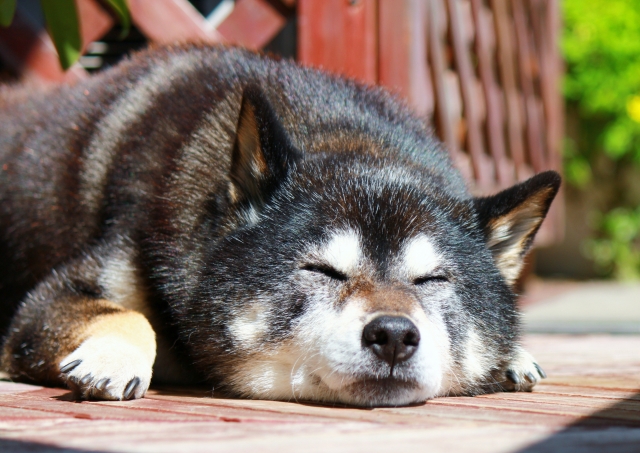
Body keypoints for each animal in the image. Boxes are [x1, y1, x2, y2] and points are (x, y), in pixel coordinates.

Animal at [0, 44, 560, 404]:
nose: (394, 334)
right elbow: (126, 313)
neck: (348, 135)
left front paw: (512, 356)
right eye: (322, 271)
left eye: (432, 280)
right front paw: (115, 355)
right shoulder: (42, 305)